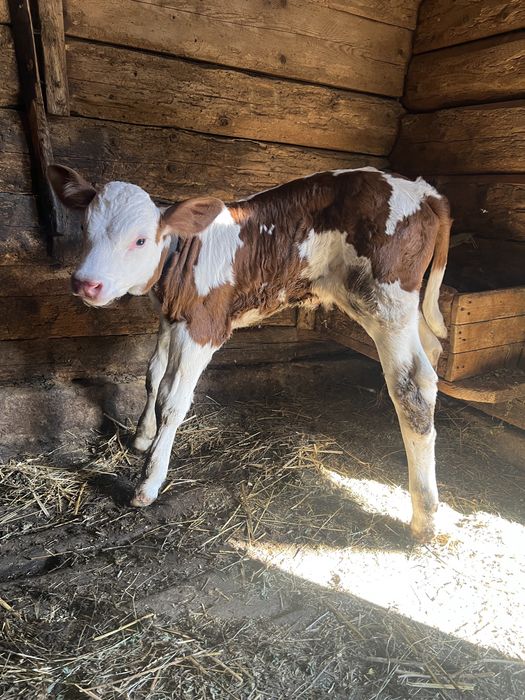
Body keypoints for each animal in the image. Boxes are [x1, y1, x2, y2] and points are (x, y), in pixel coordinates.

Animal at [47, 165, 451, 542]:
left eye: (140, 240)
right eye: (84, 227)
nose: (85, 283)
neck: (182, 258)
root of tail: (422, 189)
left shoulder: (205, 326)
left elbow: (173, 399)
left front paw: (148, 481)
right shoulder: (169, 317)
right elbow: (153, 374)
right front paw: (142, 436)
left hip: (386, 300)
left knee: (413, 385)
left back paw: (425, 515)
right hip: (405, 307)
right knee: (433, 351)